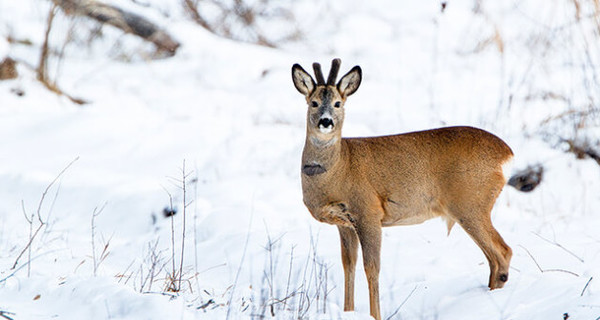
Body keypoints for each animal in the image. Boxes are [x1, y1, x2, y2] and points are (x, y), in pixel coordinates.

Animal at [292, 58, 512, 318]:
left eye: (338, 103)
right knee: (494, 257)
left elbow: (372, 268)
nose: (326, 121)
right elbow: (349, 266)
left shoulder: (369, 212)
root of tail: (507, 154)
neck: (339, 169)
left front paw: (375, 315)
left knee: (503, 252)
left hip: (471, 203)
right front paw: (348, 311)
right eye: (313, 102)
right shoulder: (344, 223)